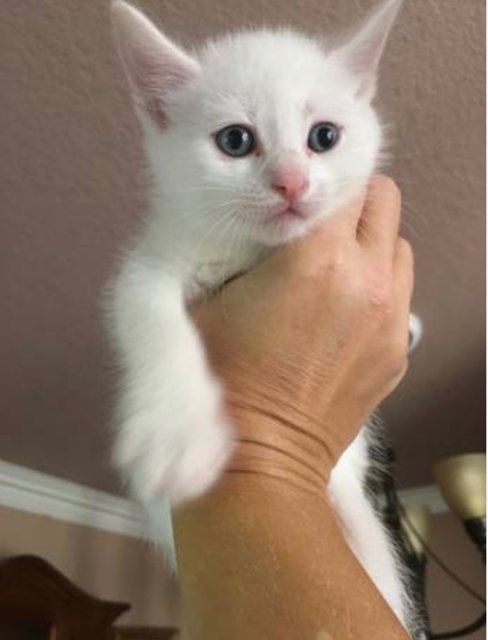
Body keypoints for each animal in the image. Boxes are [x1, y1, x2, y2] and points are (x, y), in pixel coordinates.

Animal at [107, 2, 424, 636]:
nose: (292, 182)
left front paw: (410, 326)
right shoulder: (151, 265)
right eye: (235, 140)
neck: (255, 252)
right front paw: (175, 432)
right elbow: (151, 316)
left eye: (324, 136)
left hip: (367, 533)